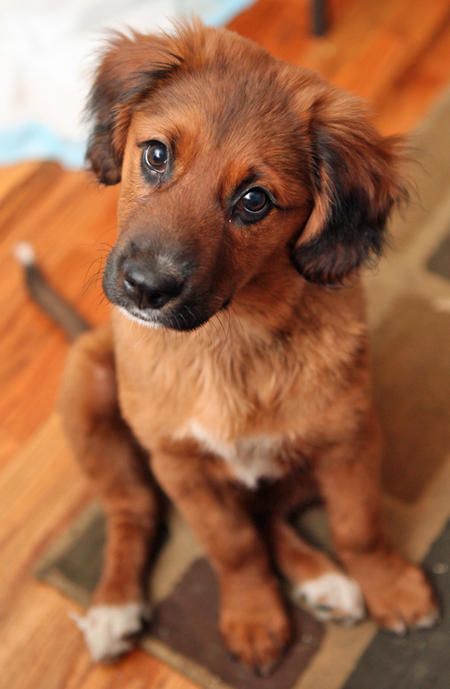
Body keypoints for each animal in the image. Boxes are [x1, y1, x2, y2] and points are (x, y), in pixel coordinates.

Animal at [50, 20, 440, 672]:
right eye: (155, 155)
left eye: (254, 201)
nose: (144, 287)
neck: (226, 339)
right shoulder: (181, 466)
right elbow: (231, 545)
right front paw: (254, 616)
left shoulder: (350, 436)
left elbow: (357, 525)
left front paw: (390, 587)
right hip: (89, 388)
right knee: (134, 513)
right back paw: (112, 608)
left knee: (270, 512)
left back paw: (324, 580)